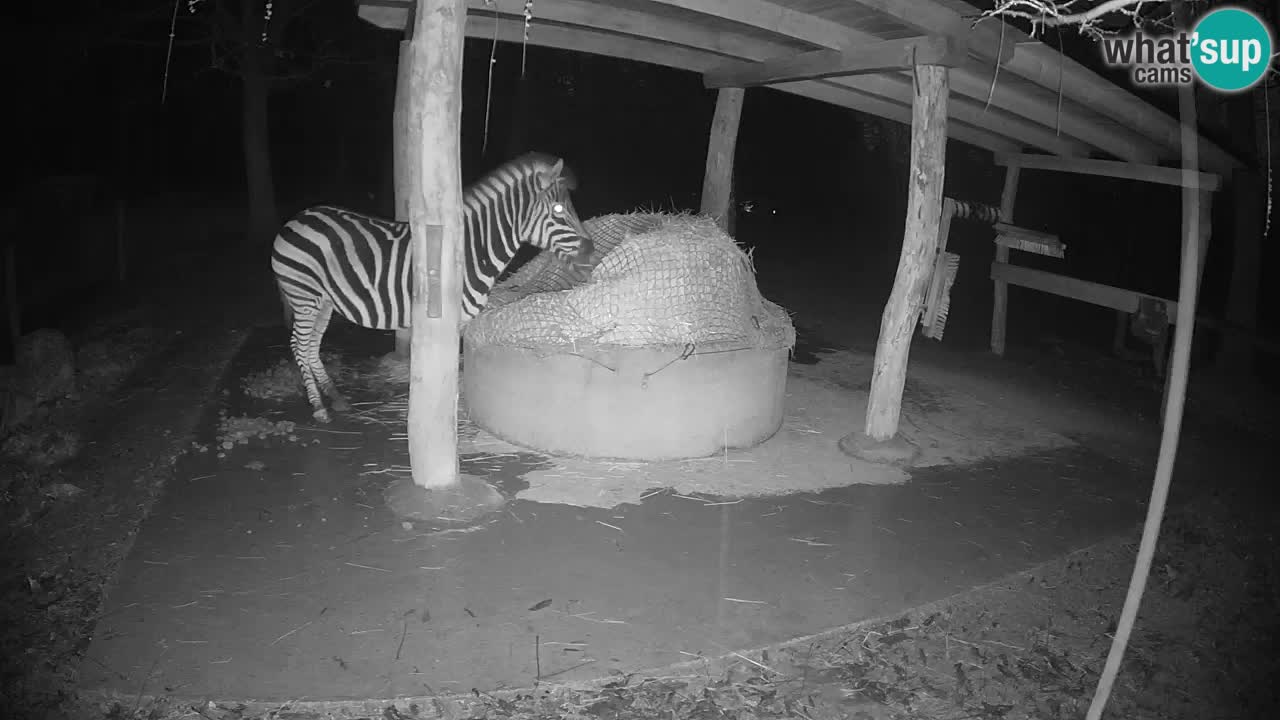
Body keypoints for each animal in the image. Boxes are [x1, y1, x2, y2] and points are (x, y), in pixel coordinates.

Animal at [271, 152, 593, 423]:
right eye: (559, 209)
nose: (591, 255)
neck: (471, 250)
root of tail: (298, 218)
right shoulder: (448, 321)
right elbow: (449, 371)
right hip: (304, 295)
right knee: (299, 345)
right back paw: (318, 407)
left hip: (324, 300)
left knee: (312, 346)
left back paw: (335, 398)